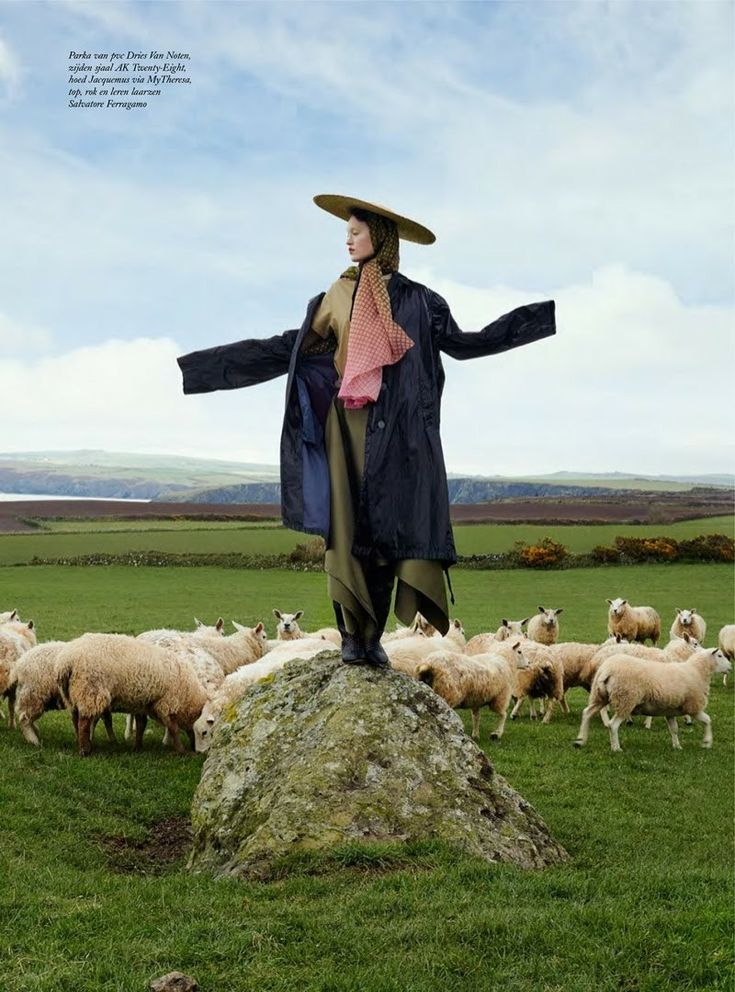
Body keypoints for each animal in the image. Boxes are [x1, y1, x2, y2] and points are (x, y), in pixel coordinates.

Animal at [55, 632, 207, 756]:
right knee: (83, 722)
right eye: (201, 730)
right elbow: (173, 728)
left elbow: (141, 725)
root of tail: (66, 661)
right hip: (90, 690)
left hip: (73, 694)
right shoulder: (165, 703)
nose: (196, 749)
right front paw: (181, 750)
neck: (187, 695)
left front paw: (138, 747)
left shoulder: (142, 703)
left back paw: (81, 742)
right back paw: (85, 750)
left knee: (75, 719)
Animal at [576, 644, 732, 752]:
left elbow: (674, 729)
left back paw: (580, 740)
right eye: (719, 656)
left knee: (587, 713)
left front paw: (677, 746)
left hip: (599, 696)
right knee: (612, 725)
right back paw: (616, 748)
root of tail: (606, 670)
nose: (730, 667)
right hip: (626, 699)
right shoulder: (693, 706)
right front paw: (707, 742)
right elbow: (707, 720)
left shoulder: (670, 710)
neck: (697, 671)